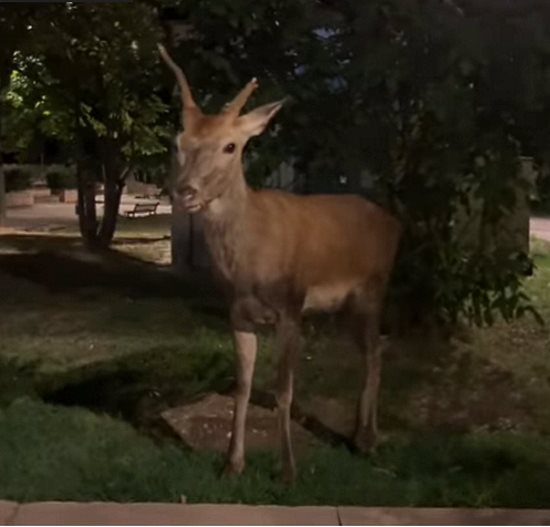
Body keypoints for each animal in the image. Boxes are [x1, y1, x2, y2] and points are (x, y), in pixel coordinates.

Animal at [158, 45, 402, 482]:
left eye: (230, 146)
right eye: (177, 142)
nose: (184, 191)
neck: (250, 262)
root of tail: (396, 223)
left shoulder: (291, 306)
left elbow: (284, 389)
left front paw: (288, 470)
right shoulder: (238, 313)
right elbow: (242, 384)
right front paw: (232, 464)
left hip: (375, 288)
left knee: (376, 353)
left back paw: (369, 439)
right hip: (344, 306)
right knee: (369, 352)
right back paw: (358, 434)